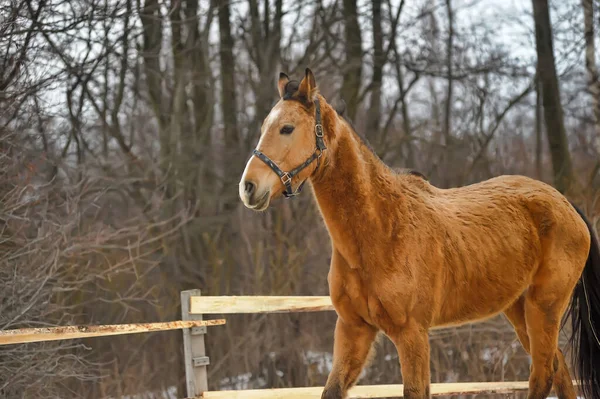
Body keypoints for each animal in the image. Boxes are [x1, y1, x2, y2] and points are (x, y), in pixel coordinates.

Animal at [238, 68, 600, 399]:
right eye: (265, 128)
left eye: (287, 128)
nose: (248, 187)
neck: (380, 232)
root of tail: (566, 204)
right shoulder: (354, 329)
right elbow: (332, 390)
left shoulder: (412, 334)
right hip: (519, 309)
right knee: (559, 371)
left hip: (544, 307)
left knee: (543, 374)